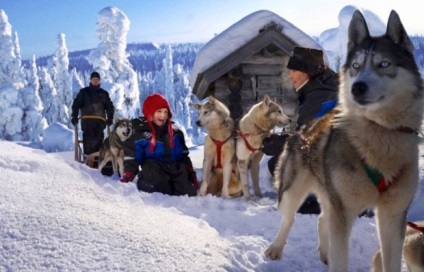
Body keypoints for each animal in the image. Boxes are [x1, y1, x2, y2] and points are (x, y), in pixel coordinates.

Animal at [264, 9, 424, 270]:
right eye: (356, 66)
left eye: (384, 64)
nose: (357, 87)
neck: (379, 133)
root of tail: (301, 129)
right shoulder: (344, 212)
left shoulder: (393, 216)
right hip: (293, 190)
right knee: (288, 219)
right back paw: (276, 249)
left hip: (330, 196)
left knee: (321, 219)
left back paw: (324, 254)